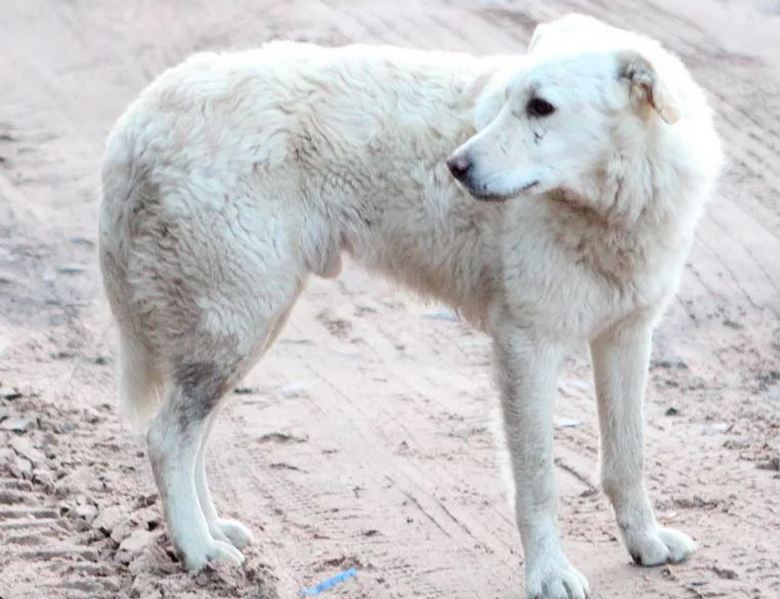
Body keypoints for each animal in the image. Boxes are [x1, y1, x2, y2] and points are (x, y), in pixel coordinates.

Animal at [100, 14, 724, 599]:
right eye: (508, 102)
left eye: (541, 108)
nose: (456, 167)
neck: (614, 205)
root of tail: (138, 119)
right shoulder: (527, 347)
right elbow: (539, 482)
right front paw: (549, 575)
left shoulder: (627, 336)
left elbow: (628, 458)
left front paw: (646, 543)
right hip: (236, 321)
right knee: (167, 439)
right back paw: (197, 551)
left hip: (239, 326)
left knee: (194, 439)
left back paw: (214, 534)